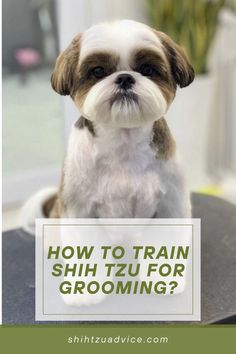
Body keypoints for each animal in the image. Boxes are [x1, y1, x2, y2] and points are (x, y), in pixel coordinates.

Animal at [21, 20, 194, 234]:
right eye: (98, 71)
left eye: (147, 69)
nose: (125, 78)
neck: (124, 143)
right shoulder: (79, 209)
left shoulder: (172, 203)